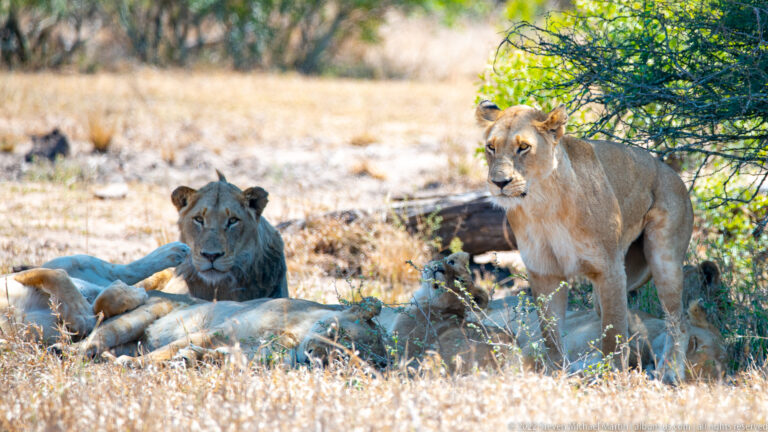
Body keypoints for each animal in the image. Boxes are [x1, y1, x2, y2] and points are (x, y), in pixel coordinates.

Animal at [0, 242, 189, 344]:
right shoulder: (68, 334)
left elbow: (56, 276)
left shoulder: (13, 277)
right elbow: (99, 306)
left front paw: (81, 309)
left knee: (124, 269)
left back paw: (177, 251)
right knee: (119, 276)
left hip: (74, 260)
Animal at [475, 101, 694, 382]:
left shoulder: (609, 269)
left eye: (523, 147)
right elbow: (551, 335)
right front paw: (557, 374)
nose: (499, 182)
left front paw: (615, 378)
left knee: (678, 319)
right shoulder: (544, 272)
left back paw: (670, 371)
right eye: (491, 147)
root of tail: (673, 173)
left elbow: (613, 334)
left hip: (663, 259)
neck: (543, 204)